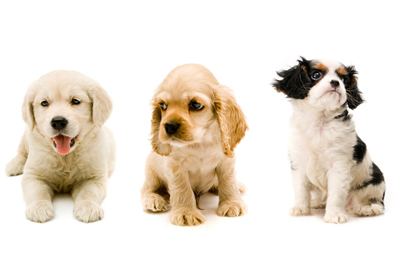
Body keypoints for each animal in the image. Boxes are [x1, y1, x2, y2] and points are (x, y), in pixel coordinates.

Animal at [5, 69, 115, 222]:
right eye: (44, 103)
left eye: (75, 101)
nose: (58, 121)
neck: (65, 157)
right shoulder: (33, 174)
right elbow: (37, 191)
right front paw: (39, 207)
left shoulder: (94, 177)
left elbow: (89, 191)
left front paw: (88, 207)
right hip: (26, 135)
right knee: (22, 151)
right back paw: (14, 164)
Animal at [141, 63, 247, 225]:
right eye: (163, 106)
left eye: (196, 105)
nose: (169, 126)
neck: (200, 142)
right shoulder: (175, 167)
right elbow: (182, 189)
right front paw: (186, 213)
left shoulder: (226, 161)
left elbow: (227, 182)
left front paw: (231, 203)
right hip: (150, 170)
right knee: (147, 189)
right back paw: (153, 200)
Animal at [274, 57, 386, 223]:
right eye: (316, 75)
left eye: (344, 80)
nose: (335, 82)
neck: (320, 120)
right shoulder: (298, 163)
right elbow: (301, 189)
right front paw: (301, 208)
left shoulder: (339, 166)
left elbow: (336, 194)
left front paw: (334, 215)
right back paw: (318, 203)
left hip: (374, 183)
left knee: (377, 204)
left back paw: (365, 209)